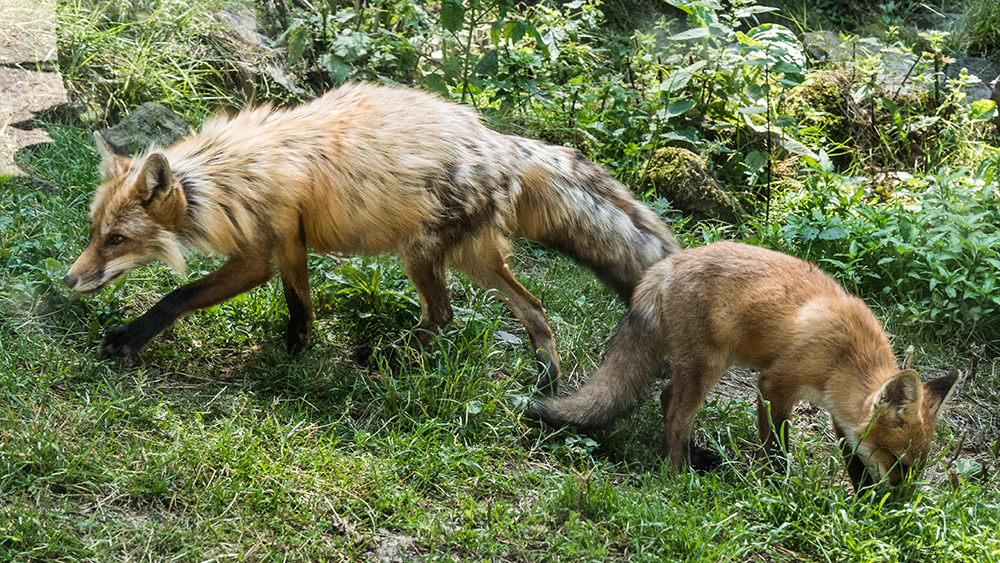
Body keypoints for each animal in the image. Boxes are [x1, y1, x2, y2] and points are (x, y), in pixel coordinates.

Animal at [60, 82, 680, 396]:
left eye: (115, 240)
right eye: (93, 233)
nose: (67, 280)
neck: (228, 179)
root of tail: (499, 141)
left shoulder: (258, 256)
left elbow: (177, 297)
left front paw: (129, 337)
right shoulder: (290, 244)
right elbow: (300, 304)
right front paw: (295, 350)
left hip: (420, 252)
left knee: (443, 316)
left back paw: (386, 355)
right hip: (473, 259)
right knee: (534, 308)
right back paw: (548, 379)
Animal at [532, 242, 960, 494]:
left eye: (918, 469)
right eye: (899, 464)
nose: (895, 511)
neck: (844, 357)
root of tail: (664, 266)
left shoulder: (843, 417)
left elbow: (855, 460)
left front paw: (860, 502)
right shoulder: (774, 384)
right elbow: (776, 449)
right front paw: (777, 490)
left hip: (706, 365)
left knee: (667, 398)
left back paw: (694, 455)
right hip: (707, 365)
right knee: (676, 415)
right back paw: (679, 473)